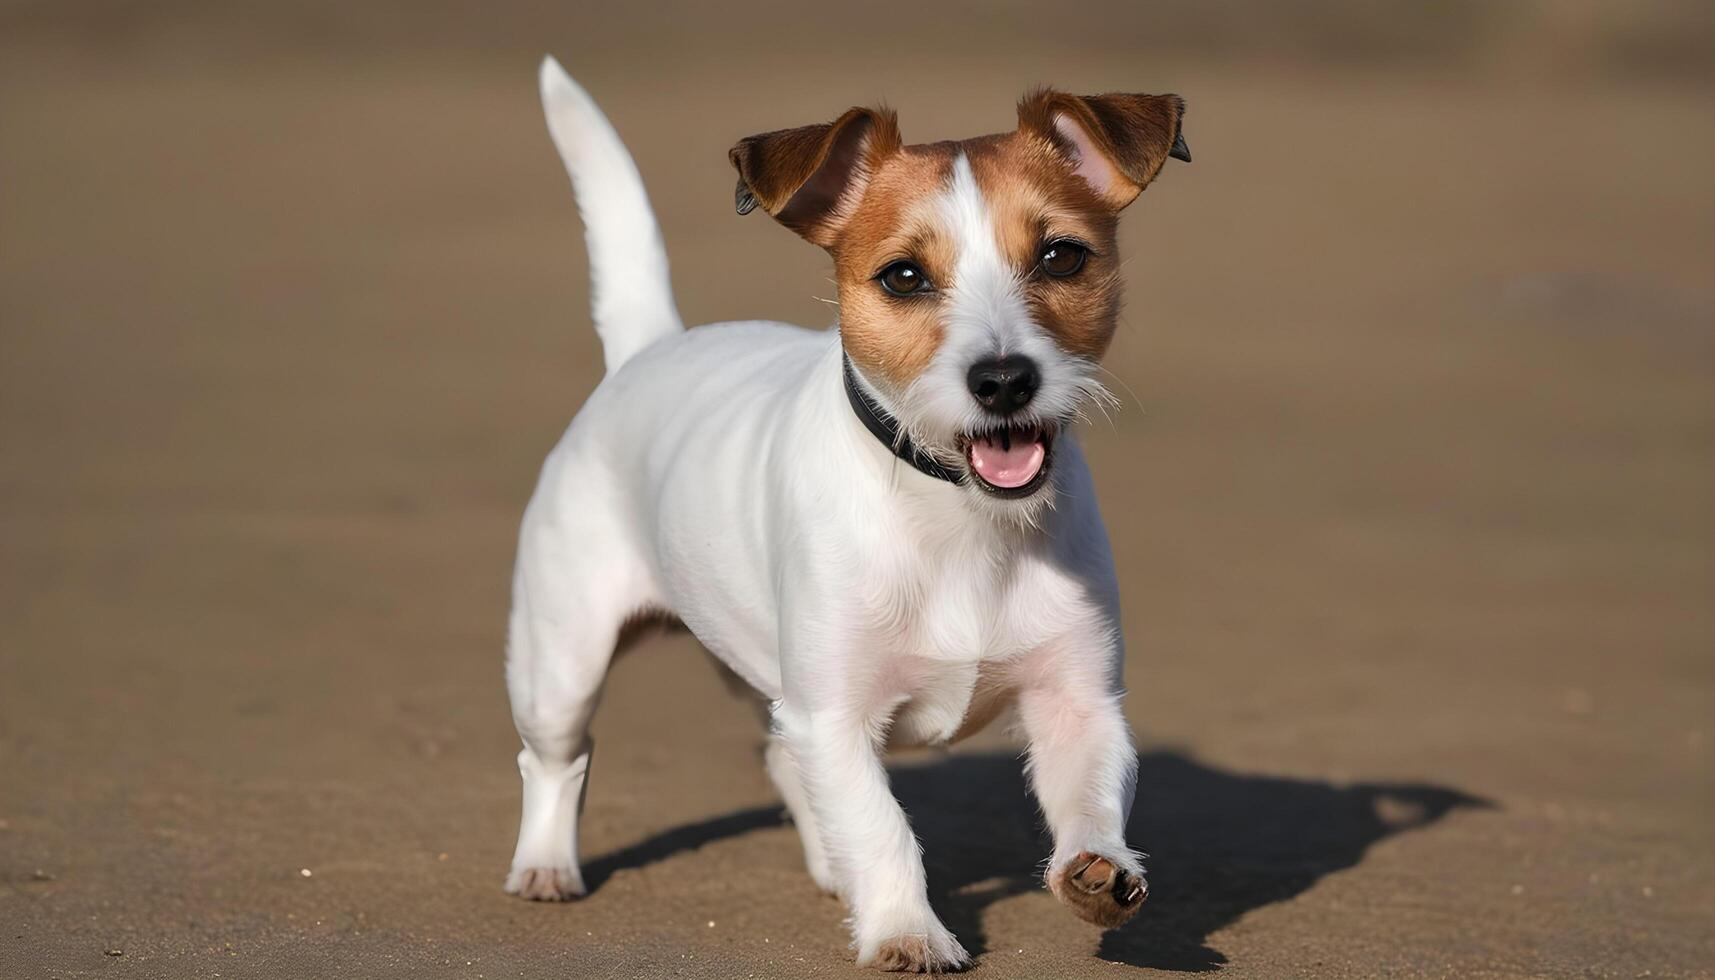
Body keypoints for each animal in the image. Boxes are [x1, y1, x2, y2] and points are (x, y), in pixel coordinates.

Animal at [500, 59, 1186, 974]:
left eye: (1060, 256)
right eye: (903, 276)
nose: (1004, 380)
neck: (955, 519)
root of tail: (649, 348)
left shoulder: (1078, 698)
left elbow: (1090, 798)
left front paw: (1097, 869)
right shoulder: (833, 715)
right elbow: (882, 825)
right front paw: (905, 929)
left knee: (780, 760)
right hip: (562, 659)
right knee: (555, 757)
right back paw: (545, 863)